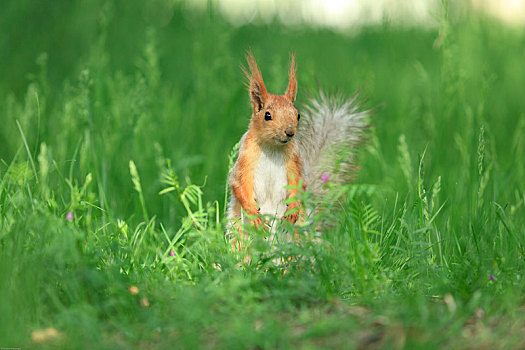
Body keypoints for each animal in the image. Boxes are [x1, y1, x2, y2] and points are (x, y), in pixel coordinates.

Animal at [226, 51, 368, 249]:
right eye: (267, 115)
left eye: (298, 114)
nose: (290, 132)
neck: (272, 147)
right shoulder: (245, 157)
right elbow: (238, 184)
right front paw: (253, 214)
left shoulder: (294, 159)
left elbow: (300, 183)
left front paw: (293, 209)